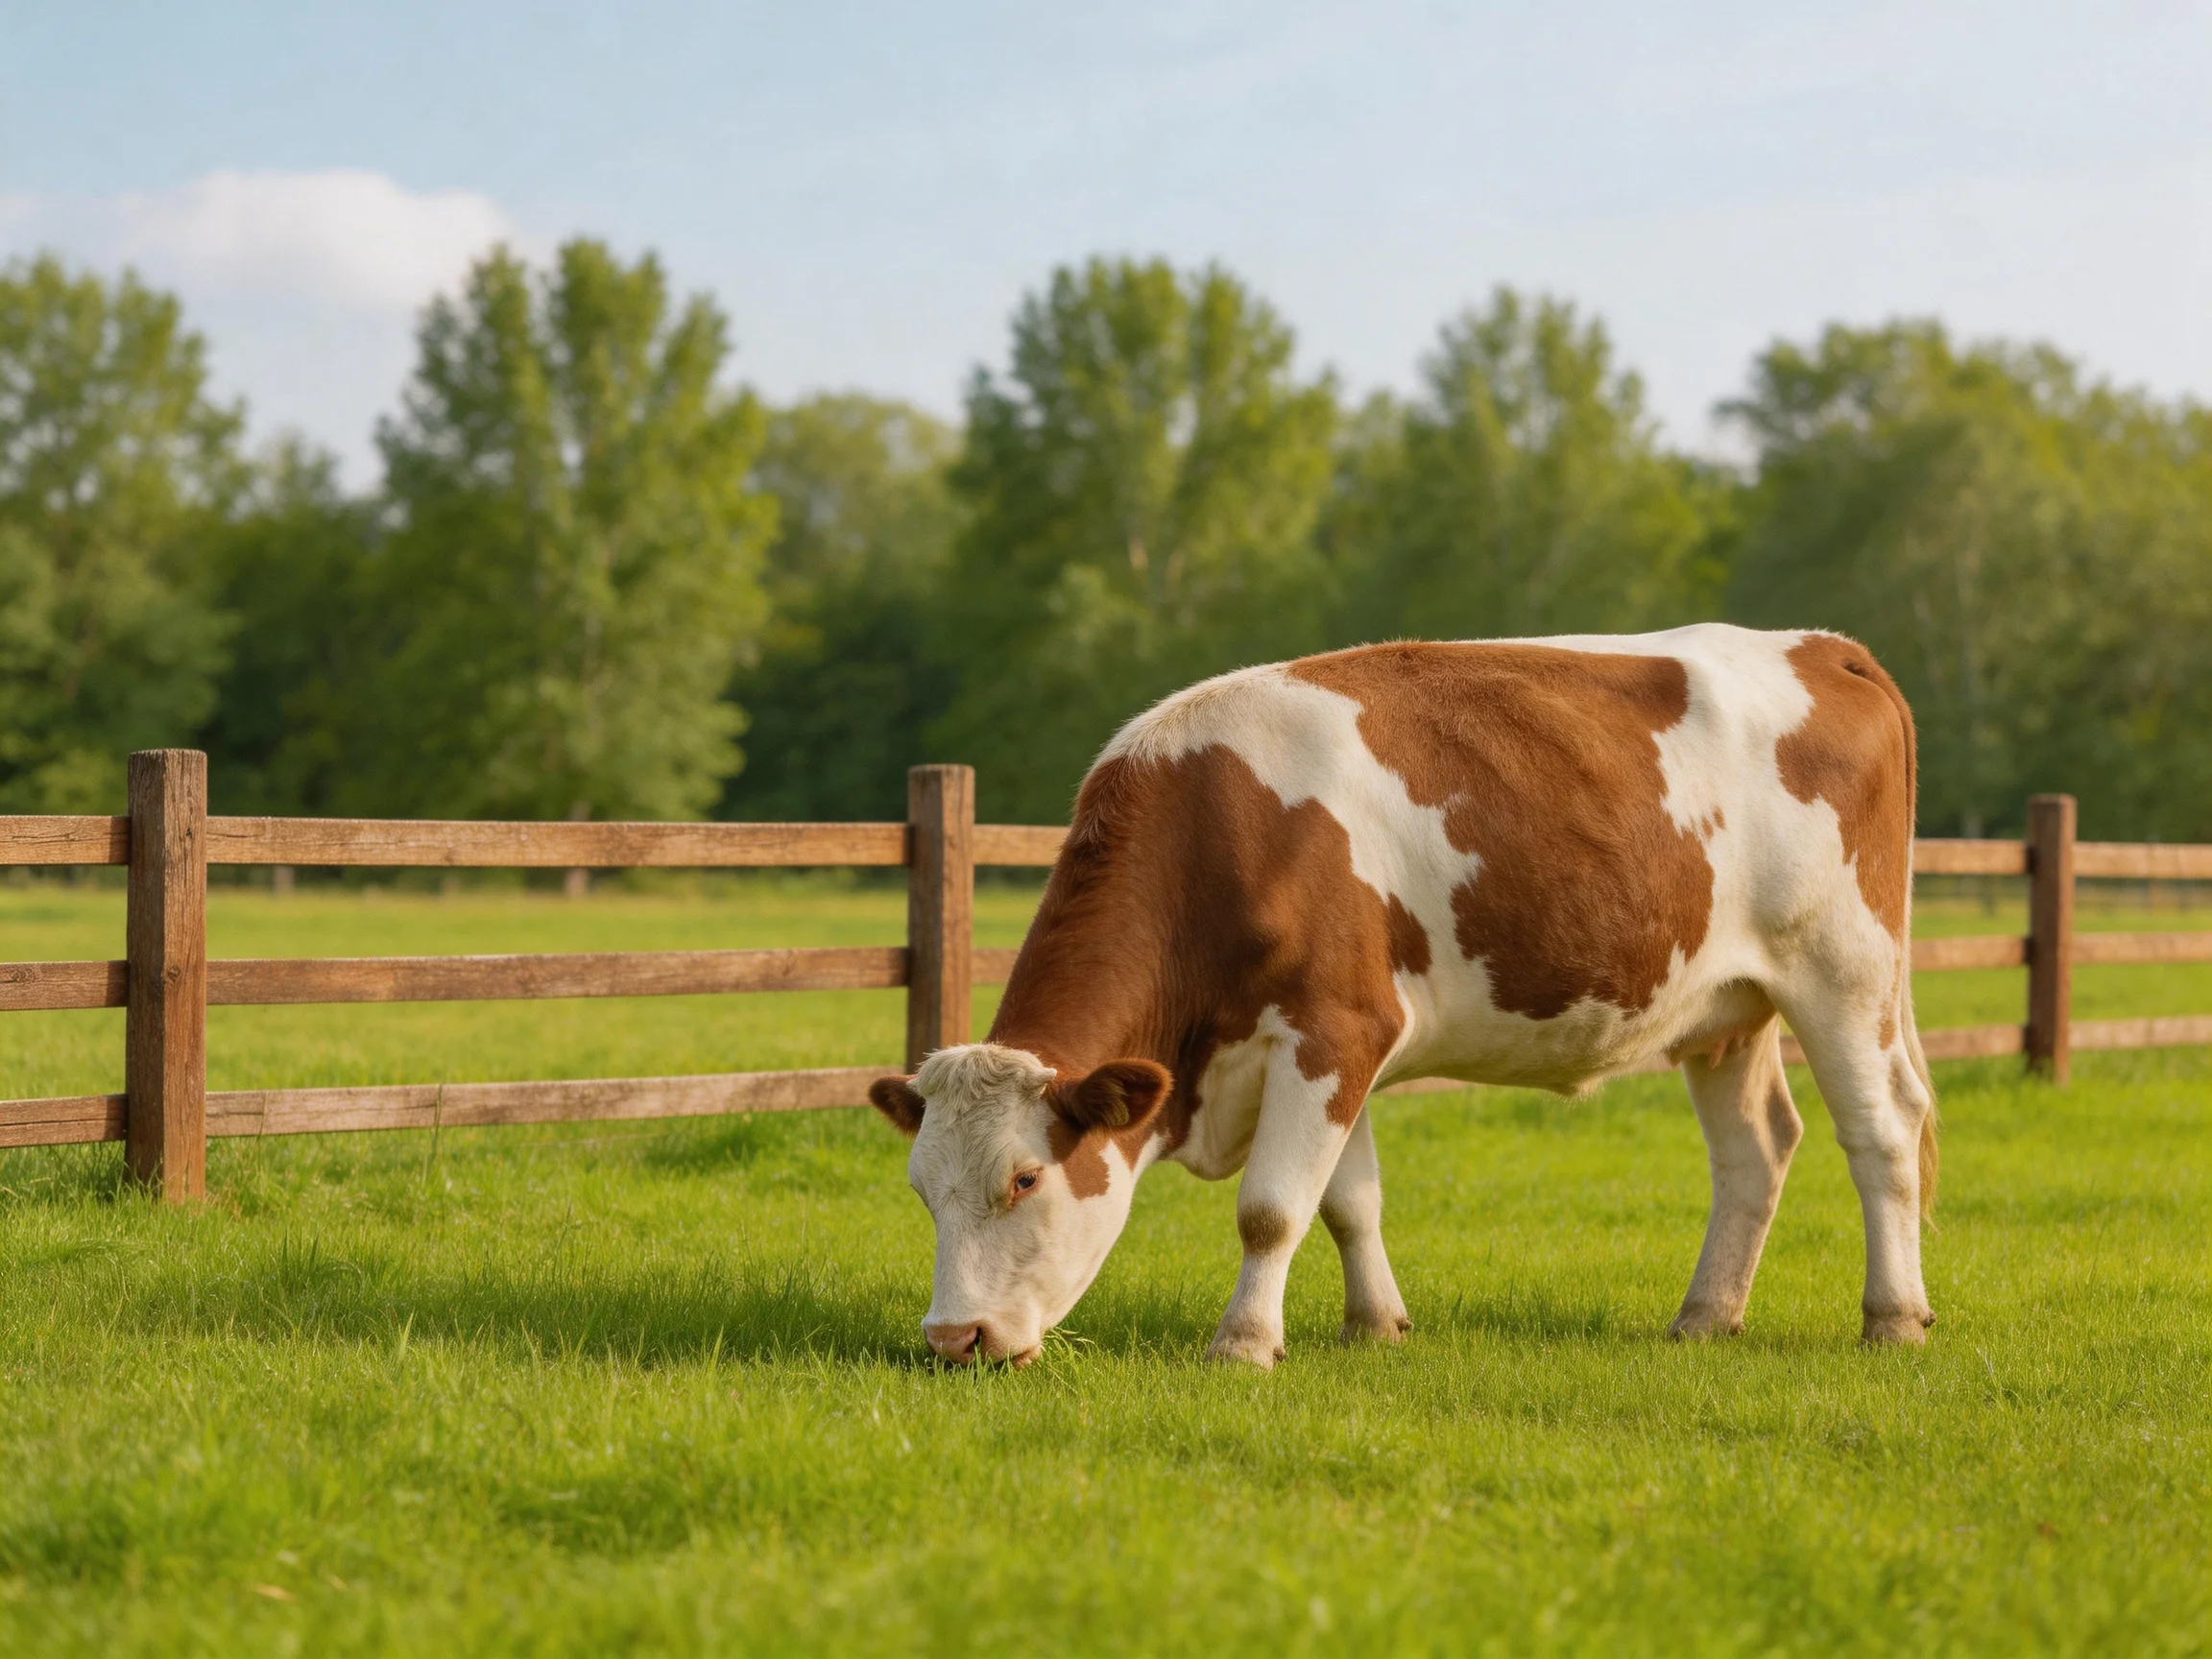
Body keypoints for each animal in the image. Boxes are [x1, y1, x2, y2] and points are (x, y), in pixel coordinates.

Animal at [869, 625, 1937, 1368]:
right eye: (920, 1188)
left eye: (1025, 1179)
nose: (952, 1339)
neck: (1220, 830)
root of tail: (1826, 647)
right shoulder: (1337, 1045)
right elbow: (1348, 1201)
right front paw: (1374, 1325)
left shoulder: (1333, 1027)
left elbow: (1272, 1208)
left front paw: (1243, 1344)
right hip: (1727, 1006)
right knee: (1755, 1151)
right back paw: (1705, 1317)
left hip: (1843, 969)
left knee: (1883, 1132)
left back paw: (1892, 1318)